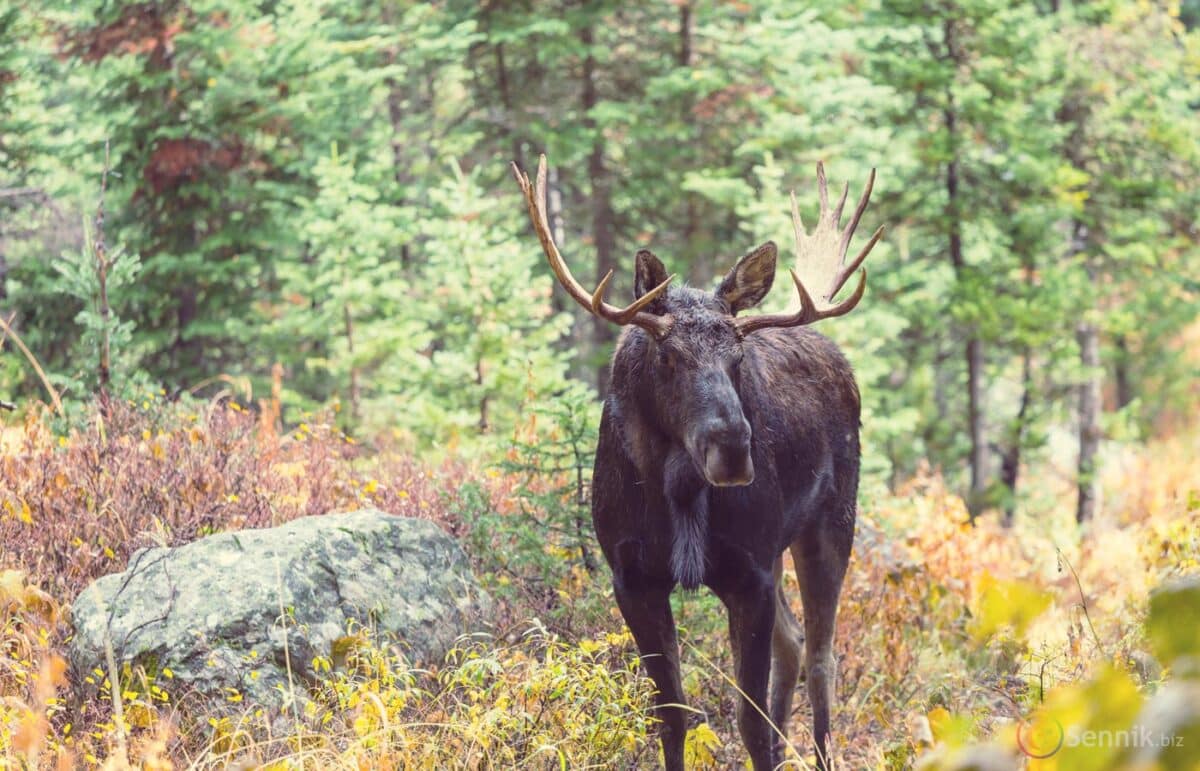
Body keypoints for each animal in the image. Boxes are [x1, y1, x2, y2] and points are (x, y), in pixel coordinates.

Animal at [511, 156, 888, 768]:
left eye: (738, 357)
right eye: (667, 356)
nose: (733, 449)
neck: (678, 492)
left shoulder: (750, 572)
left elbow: (748, 719)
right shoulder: (632, 575)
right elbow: (672, 714)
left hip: (831, 522)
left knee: (822, 657)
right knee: (795, 642)